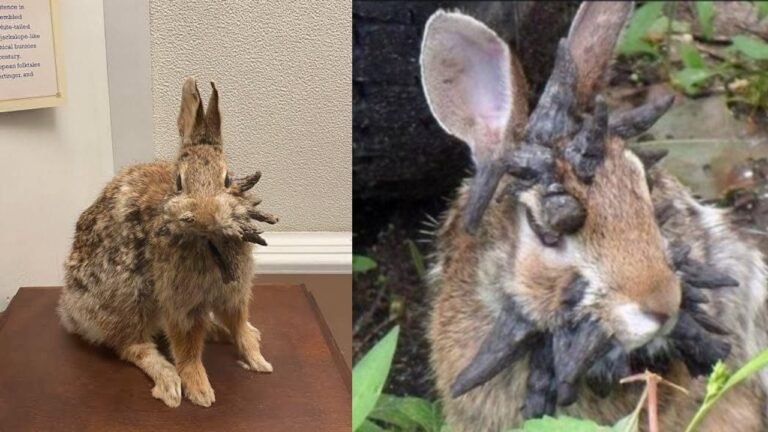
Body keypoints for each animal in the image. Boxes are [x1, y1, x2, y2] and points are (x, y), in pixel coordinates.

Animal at [57, 78, 279, 408]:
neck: (207, 241)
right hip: (128, 300)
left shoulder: (234, 293)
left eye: (228, 180)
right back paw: (168, 381)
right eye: (179, 182)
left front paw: (258, 360)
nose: (204, 215)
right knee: (131, 346)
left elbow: (239, 324)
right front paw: (200, 391)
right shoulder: (180, 303)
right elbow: (187, 349)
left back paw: (221, 332)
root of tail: (71, 313)